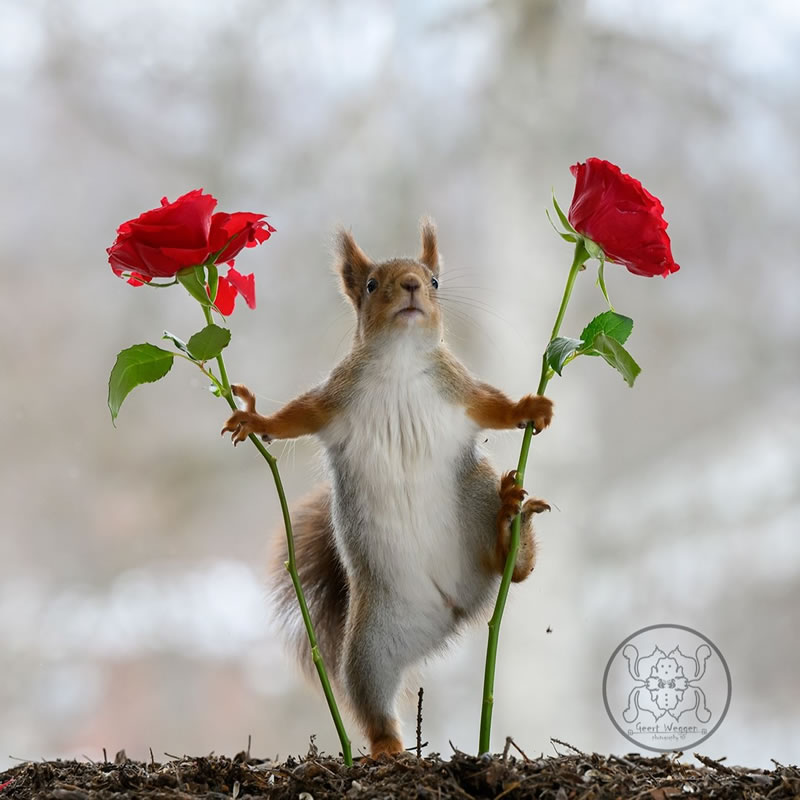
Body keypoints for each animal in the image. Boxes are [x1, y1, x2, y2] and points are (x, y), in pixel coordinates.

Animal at [222, 222, 552, 760]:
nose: (413, 286)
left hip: (475, 490)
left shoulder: (461, 388)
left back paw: (510, 527)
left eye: (435, 280)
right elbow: (293, 417)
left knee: (511, 570)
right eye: (373, 284)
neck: (399, 359)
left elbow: (494, 407)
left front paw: (531, 407)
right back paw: (388, 748)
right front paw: (256, 420)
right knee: (372, 703)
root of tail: (454, 611)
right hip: (369, 650)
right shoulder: (332, 398)